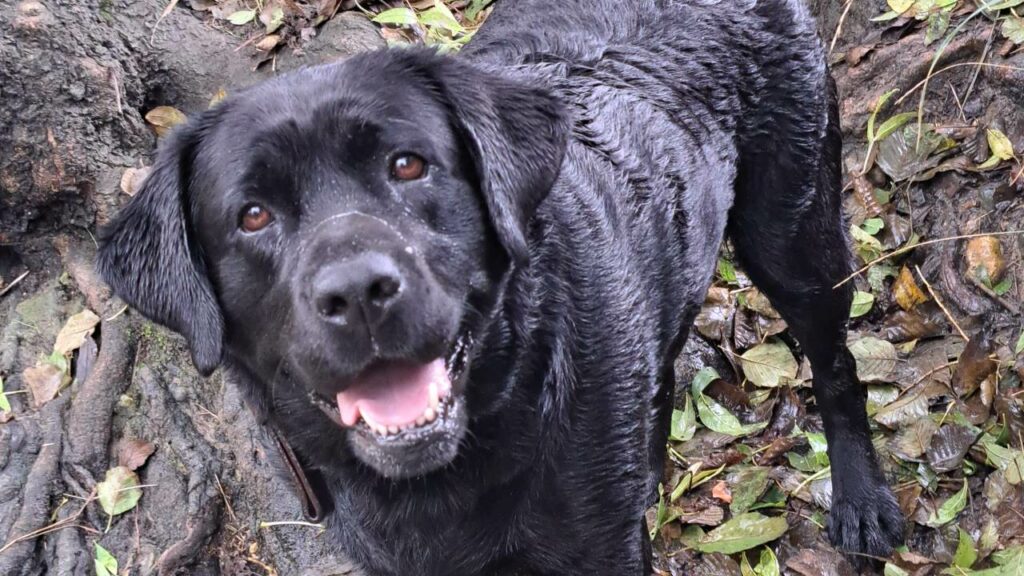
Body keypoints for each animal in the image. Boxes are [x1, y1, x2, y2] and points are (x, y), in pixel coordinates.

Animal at [99, 0, 905, 569]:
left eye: (408, 164)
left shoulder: (597, 555)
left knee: (836, 364)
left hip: (794, 232)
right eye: (254, 215)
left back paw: (862, 500)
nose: (358, 290)